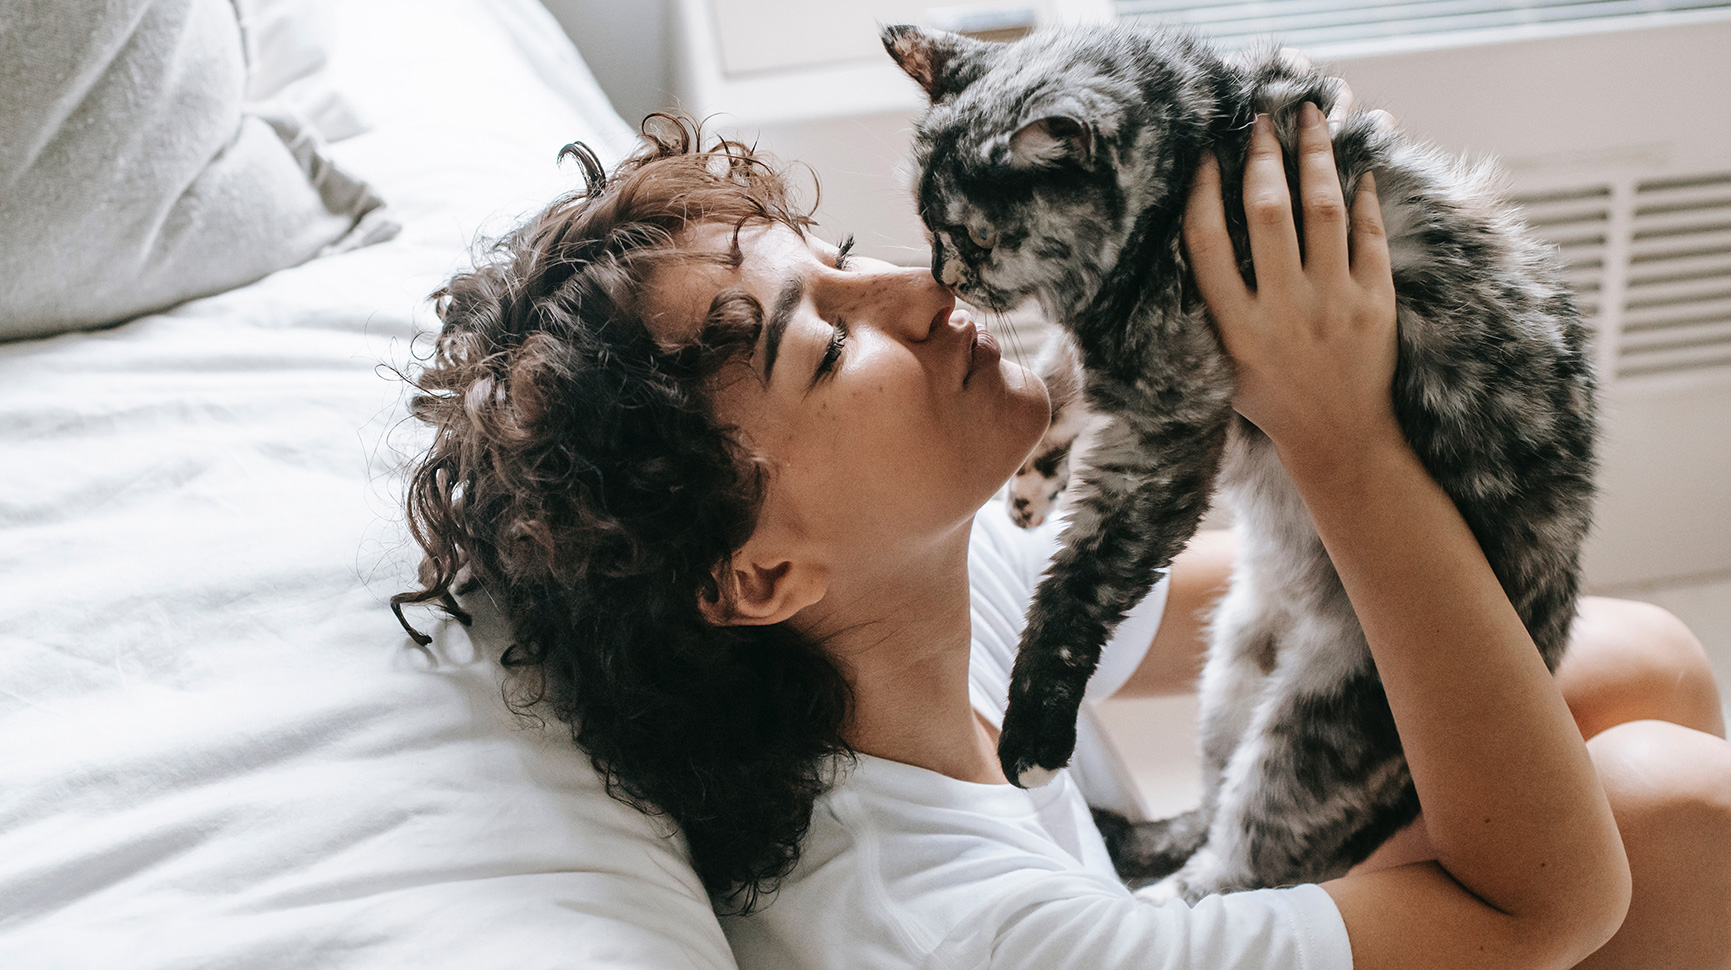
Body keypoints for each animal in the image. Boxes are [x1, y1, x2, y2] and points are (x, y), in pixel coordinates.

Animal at [882, 23, 1597, 902]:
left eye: (973, 236)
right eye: (928, 225)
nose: (944, 280)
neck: (1201, 138)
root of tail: (1548, 644)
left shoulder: (1166, 428)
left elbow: (1076, 588)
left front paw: (1032, 735)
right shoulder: (1121, 360)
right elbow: (1055, 382)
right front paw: (1031, 489)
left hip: (1315, 730)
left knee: (1242, 864)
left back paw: (1164, 895)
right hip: (1230, 675)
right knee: (1214, 807)